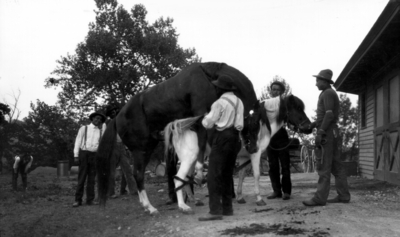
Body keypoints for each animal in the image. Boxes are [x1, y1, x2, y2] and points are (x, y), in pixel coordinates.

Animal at [96, 62, 256, 214]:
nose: (251, 146)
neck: (207, 78)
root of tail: (117, 117)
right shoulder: (201, 114)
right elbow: (201, 145)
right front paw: (199, 174)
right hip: (141, 149)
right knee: (139, 175)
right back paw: (151, 207)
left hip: (147, 147)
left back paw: (148, 205)